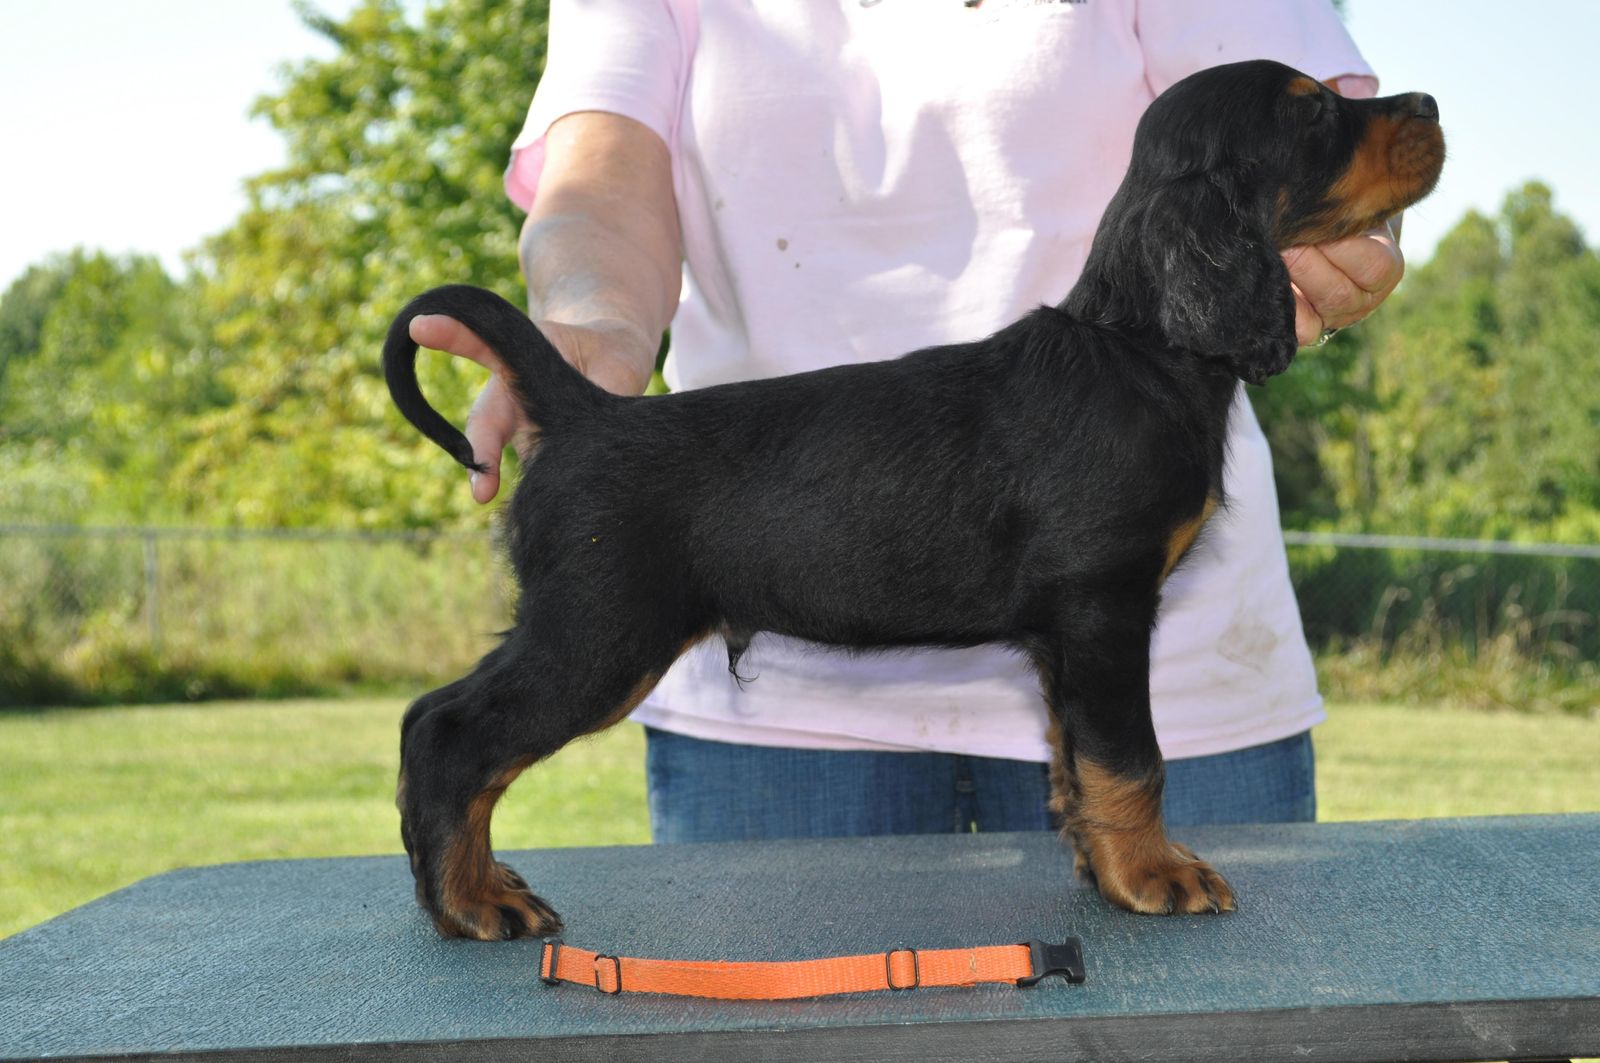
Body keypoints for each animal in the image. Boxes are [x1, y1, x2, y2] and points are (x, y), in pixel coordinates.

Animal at [384, 59, 1444, 940]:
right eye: (1313, 112)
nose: (1432, 104)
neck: (1139, 348)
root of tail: (583, 407)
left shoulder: (1066, 638)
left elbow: (1075, 761)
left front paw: (1103, 867)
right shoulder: (1105, 606)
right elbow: (1132, 756)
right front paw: (1156, 875)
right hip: (601, 629)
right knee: (446, 728)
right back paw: (471, 901)